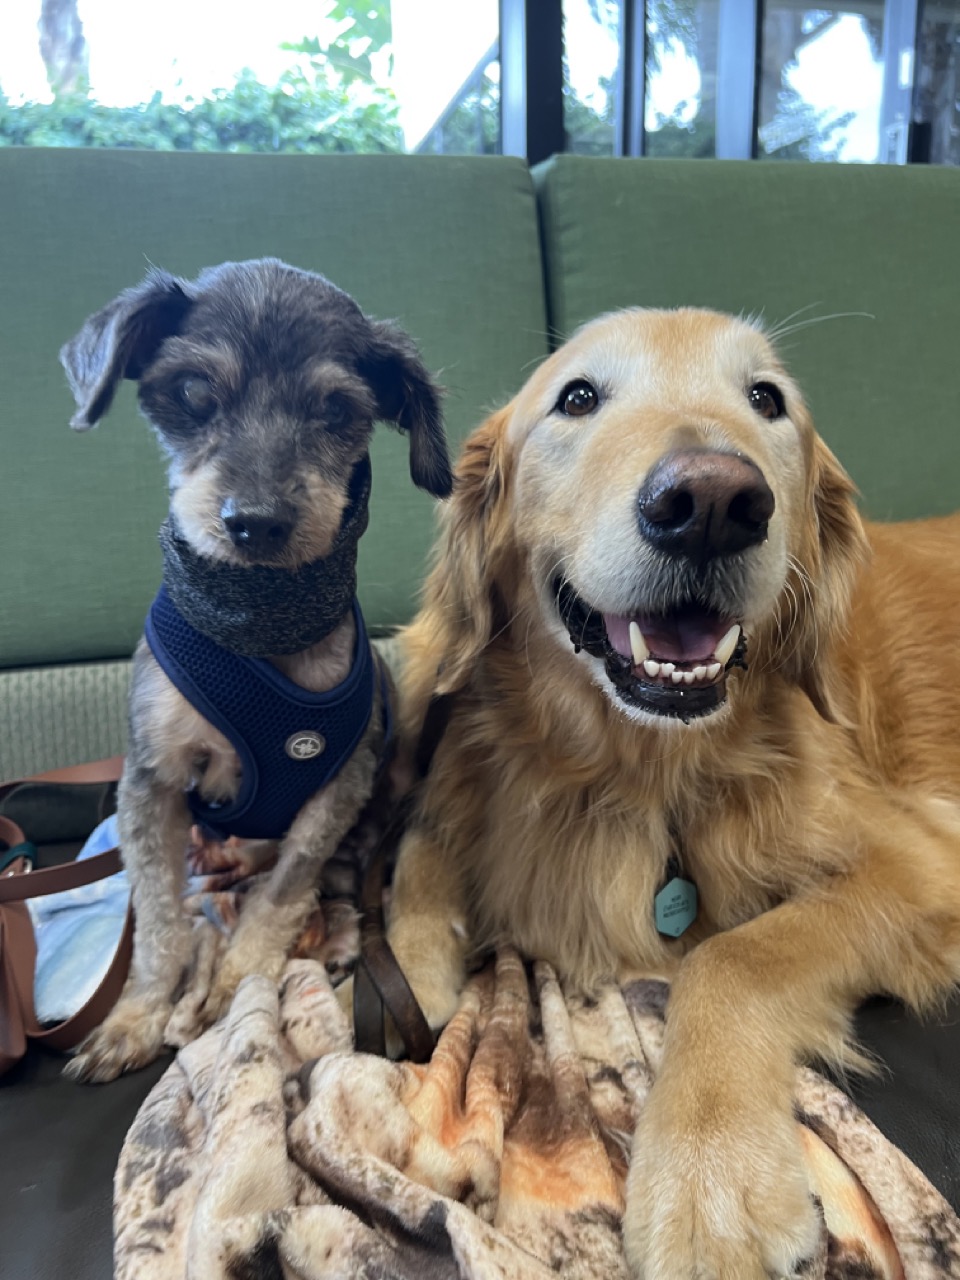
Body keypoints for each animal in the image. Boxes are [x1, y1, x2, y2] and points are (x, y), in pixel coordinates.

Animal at [58, 257, 453, 1080]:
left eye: (336, 410)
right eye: (192, 392)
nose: (257, 523)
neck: (260, 640)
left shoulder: (338, 789)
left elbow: (283, 893)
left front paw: (236, 984)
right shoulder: (150, 784)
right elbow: (160, 923)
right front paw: (136, 1016)